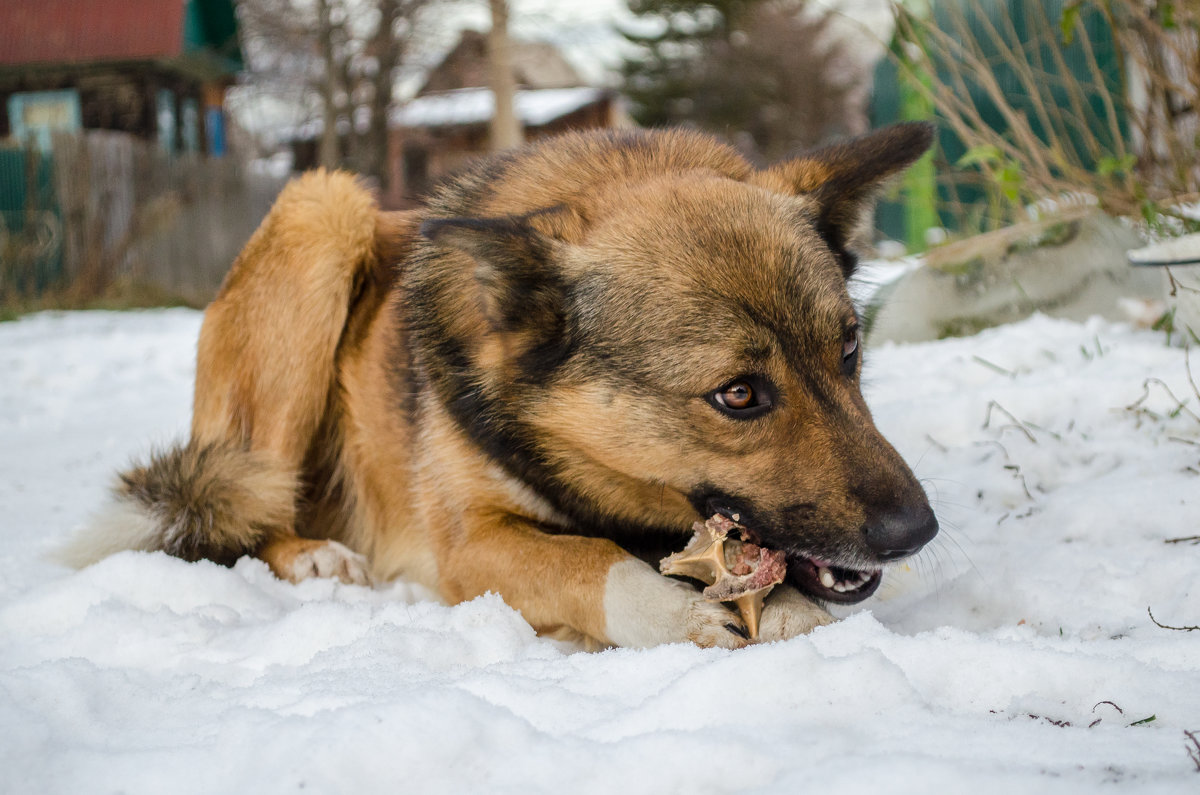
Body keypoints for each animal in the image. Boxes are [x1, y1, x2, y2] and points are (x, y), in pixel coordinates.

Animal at [70, 123, 940, 648]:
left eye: (850, 350)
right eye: (738, 394)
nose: (916, 531)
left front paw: (796, 615)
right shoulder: (473, 544)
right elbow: (592, 561)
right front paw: (675, 609)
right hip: (324, 212)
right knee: (253, 504)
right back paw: (315, 555)